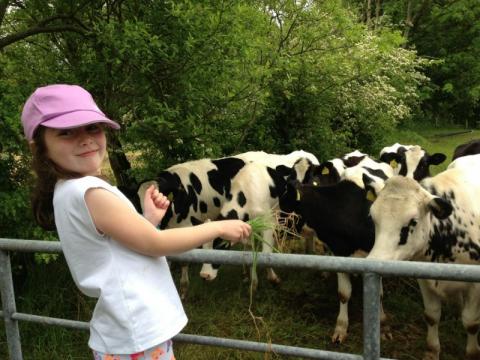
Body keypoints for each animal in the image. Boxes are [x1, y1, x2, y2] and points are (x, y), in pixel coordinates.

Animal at [280, 163, 392, 344]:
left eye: (284, 200)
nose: (277, 225)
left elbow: (379, 295)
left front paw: (383, 324)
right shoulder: (340, 252)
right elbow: (344, 294)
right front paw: (341, 327)